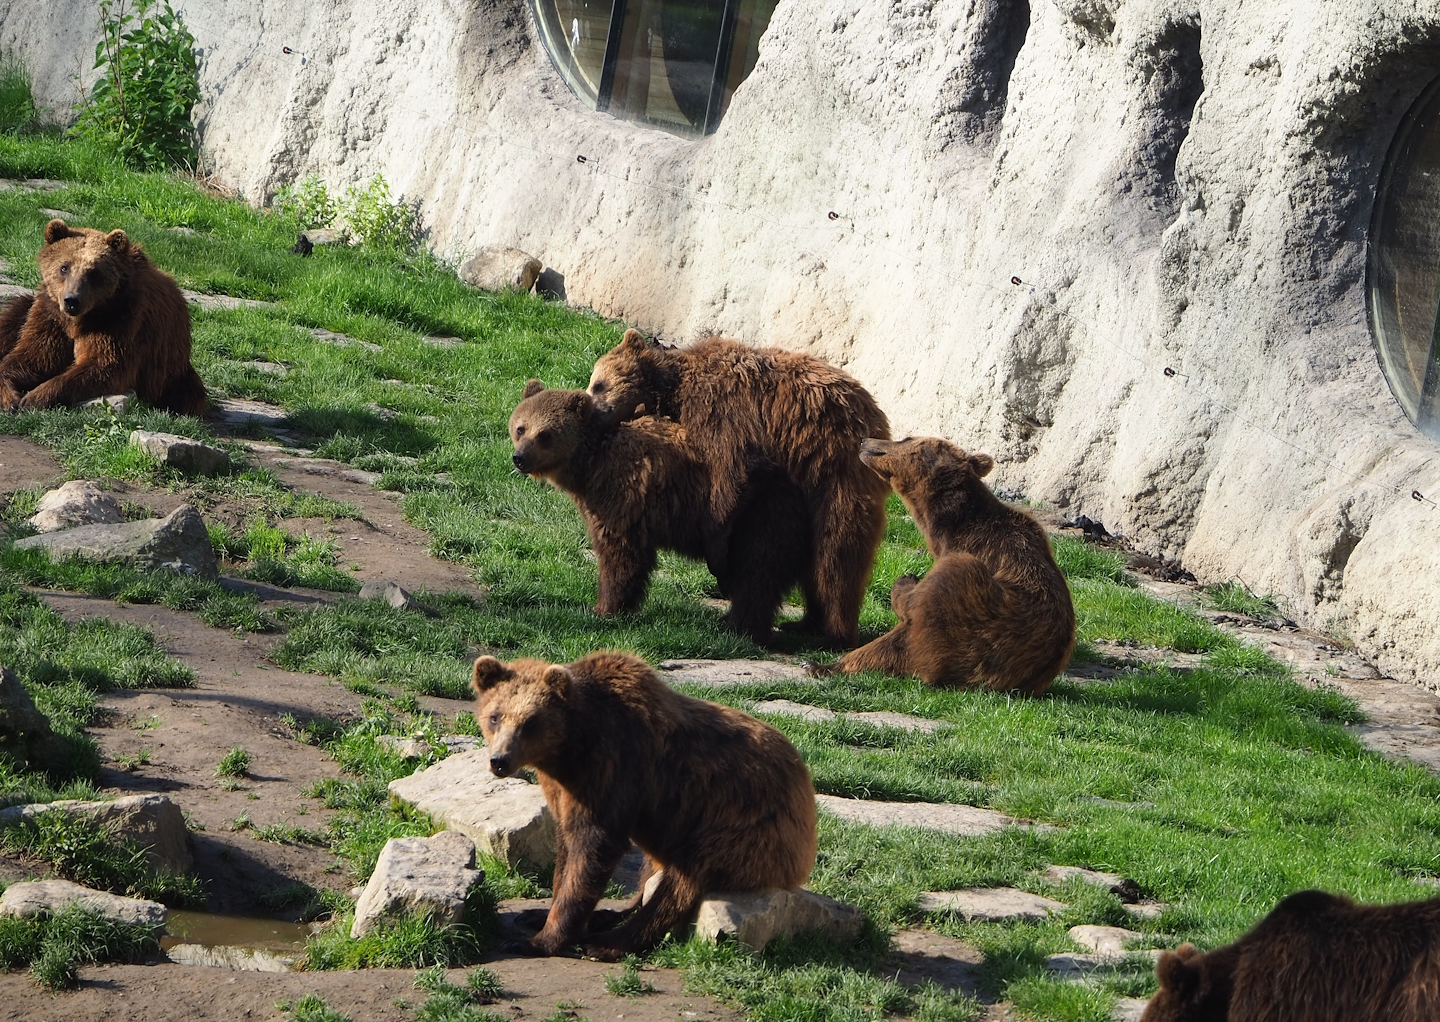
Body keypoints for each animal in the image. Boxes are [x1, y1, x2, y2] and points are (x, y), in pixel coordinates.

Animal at [0, 219, 207, 415]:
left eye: (94, 272)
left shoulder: (119, 321)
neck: (78, 321)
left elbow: (104, 365)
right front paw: (11, 398)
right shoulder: (52, 316)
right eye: (64, 267)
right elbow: (34, 357)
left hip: (172, 373)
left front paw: (34, 398)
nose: (71, 300)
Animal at [472, 651, 817, 958]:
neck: (571, 749)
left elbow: (594, 847)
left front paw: (536, 940)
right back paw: (601, 917)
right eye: (495, 716)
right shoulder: (563, 789)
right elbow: (567, 849)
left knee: (684, 879)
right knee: (651, 874)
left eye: (530, 722)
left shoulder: (614, 768)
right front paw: (539, 914)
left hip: (743, 829)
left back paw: (607, 943)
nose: (499, 760)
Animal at [509, 380, 812, 643]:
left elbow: (620, 554)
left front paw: (604, 608)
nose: (520, 458)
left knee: (758, 571)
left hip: (759, 515)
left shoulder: (621, 493)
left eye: (545, 434)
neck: (589, 465)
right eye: (521, 428)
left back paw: (738, 625)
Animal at [587, 329, 891, 648]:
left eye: (599, 384)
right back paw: (804, 623)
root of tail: (876, 417)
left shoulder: (721, 406)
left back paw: (834, 634)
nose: (591, 410)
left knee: (837, 553)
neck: (673, 390)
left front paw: (719, 559)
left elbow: (737, 469)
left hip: (835, 467)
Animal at [810, 436, 1075, 692]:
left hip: (982, 631)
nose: (864, 441)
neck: (950, 530)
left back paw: (825, 665)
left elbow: (913, 605)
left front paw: (905, 581)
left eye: (906, 438)